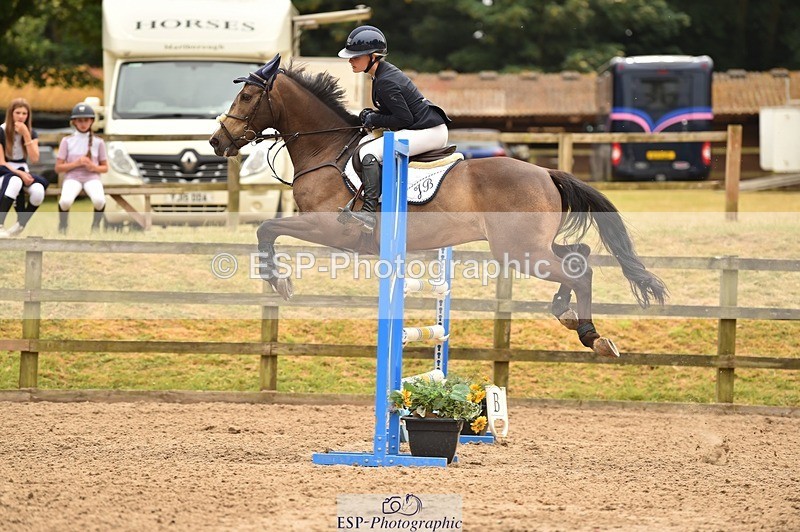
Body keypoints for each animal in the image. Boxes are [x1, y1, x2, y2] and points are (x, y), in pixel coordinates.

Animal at [209, 55, 667, 358]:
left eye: (247, 96)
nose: (217, 141)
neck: (326, 149)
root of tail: (545, 172)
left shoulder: (327, 228)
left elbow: (266, 229)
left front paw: (279, 282)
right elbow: (267, 230)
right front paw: (278, 280)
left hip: (518, 250)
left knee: (580, 270)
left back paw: (592, 335)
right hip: (532, 246)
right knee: (579, 256)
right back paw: (565, 312)